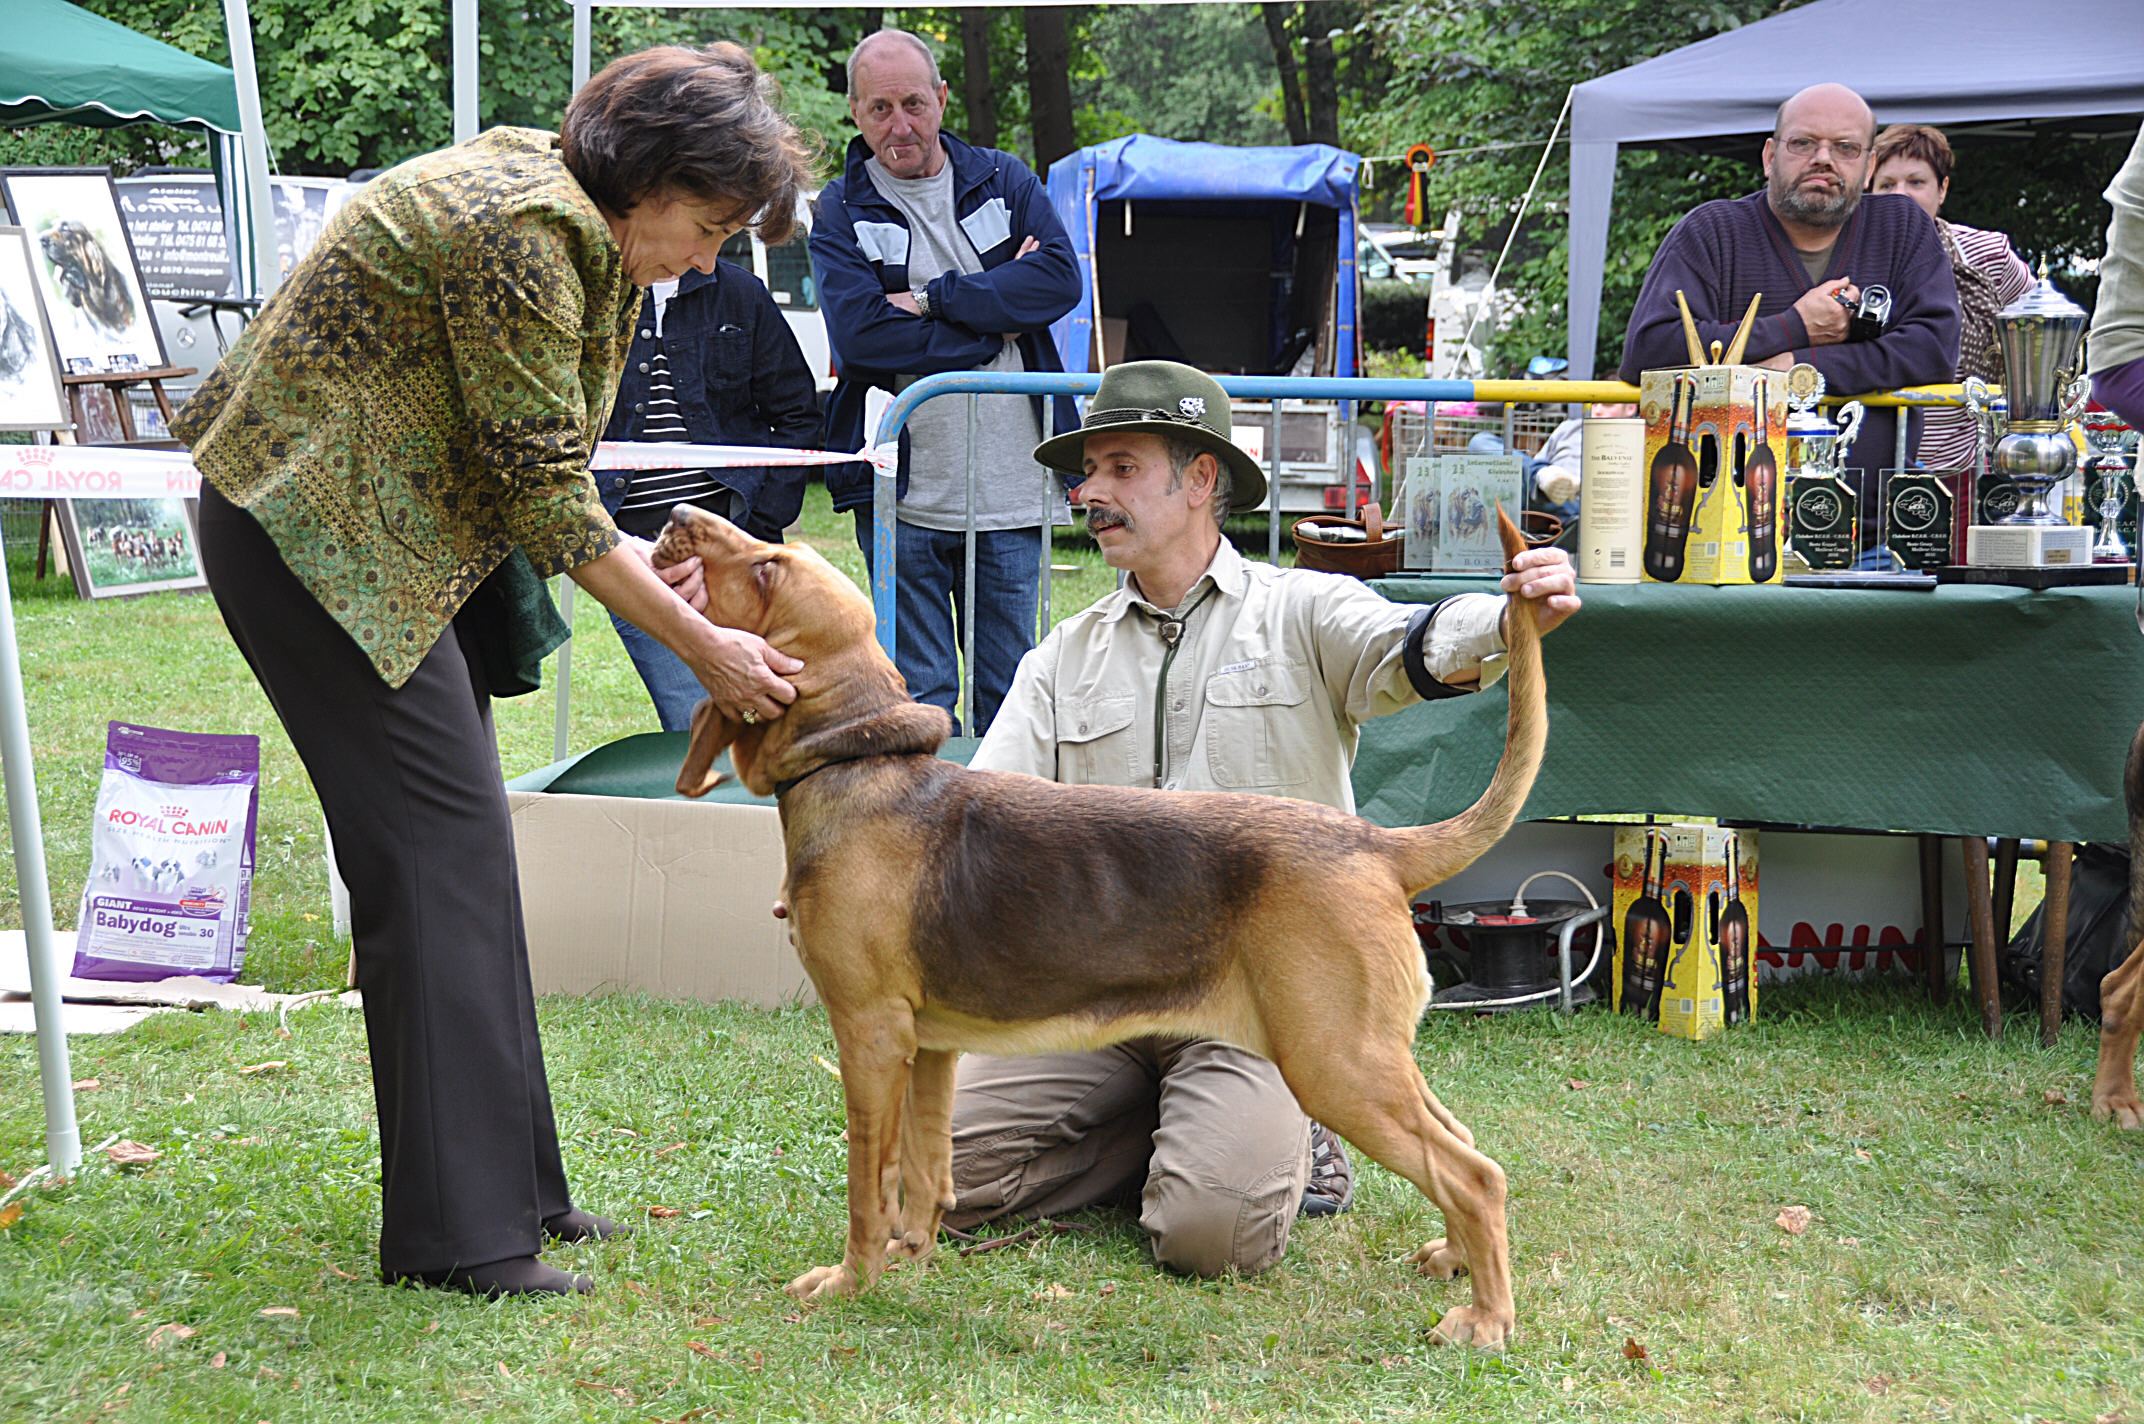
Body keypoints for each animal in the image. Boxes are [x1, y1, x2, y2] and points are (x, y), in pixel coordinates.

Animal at [651, 506, 1543, 1355]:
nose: (678, 519)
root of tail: (1377, 846)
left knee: (1474, 1175)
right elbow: (924, 1174)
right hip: (1368, 1059)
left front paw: (851, 1283)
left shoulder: (869, 1037)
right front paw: (911, 1263)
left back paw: (1488, 1319)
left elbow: (868, 1188)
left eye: (767, 571)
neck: (857, 767)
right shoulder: (929, 1049)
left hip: (1336, 1067)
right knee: (1465, 1147)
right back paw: (1453, 1261)